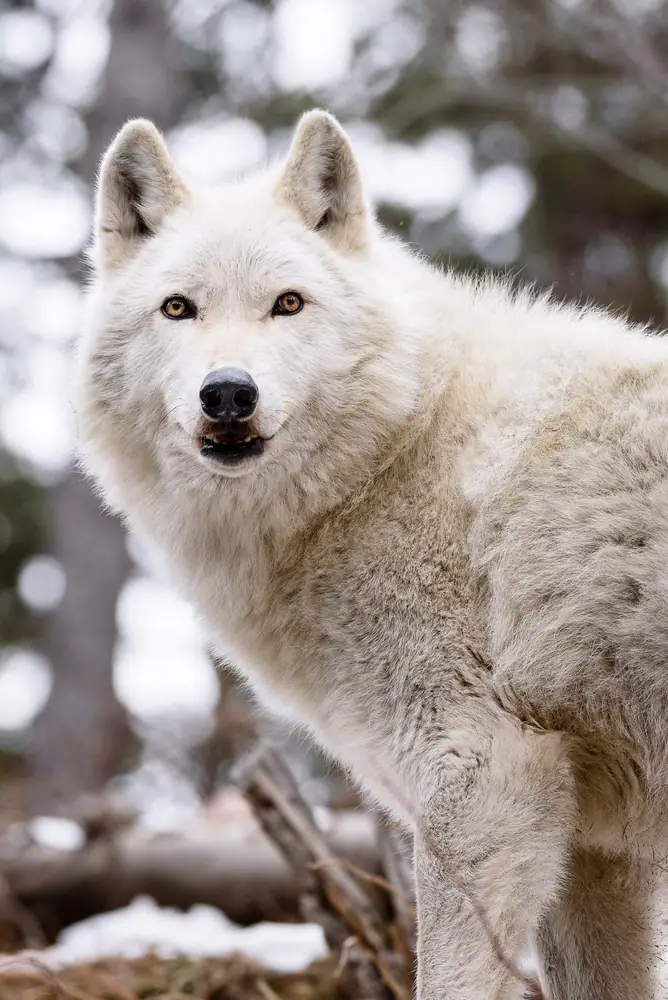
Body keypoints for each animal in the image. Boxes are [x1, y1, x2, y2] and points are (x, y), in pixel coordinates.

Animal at [76, 108, 668, 998]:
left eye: (288, 303)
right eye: (178, 308)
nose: (229, 394)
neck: (396, 449)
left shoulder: (481, 780)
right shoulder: (599, 851)